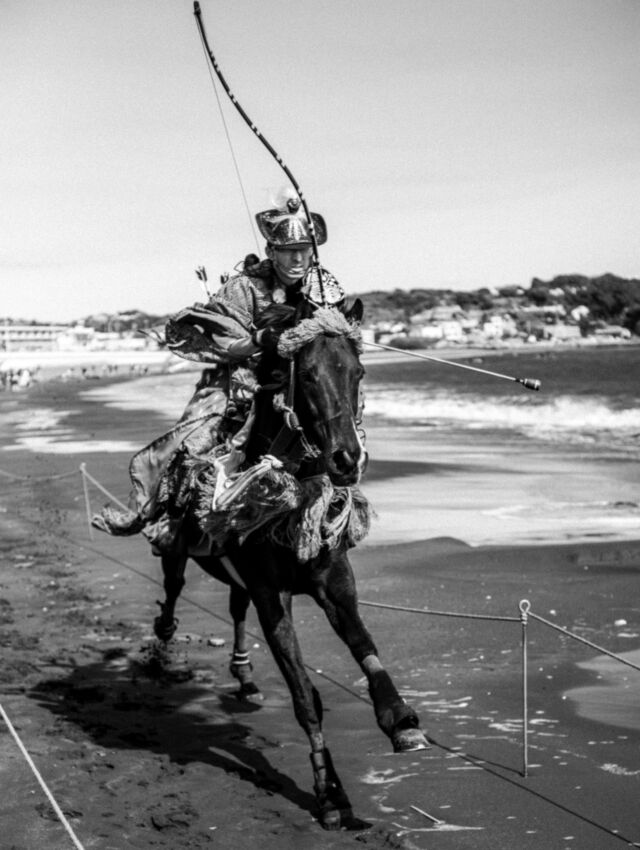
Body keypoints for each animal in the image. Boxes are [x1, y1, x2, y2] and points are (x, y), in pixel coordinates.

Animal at [151, 298, 429, 829]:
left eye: (358, 372)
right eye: (308, 376)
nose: (346, 459)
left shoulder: (334, 582)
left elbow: (366, 647)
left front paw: (400, 719)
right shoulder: (272, 595)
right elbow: (304, 695)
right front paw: (329, 792)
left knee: (235, 608)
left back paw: (244, 677)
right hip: (177, 549)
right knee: (173, 591)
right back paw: (162, 646)